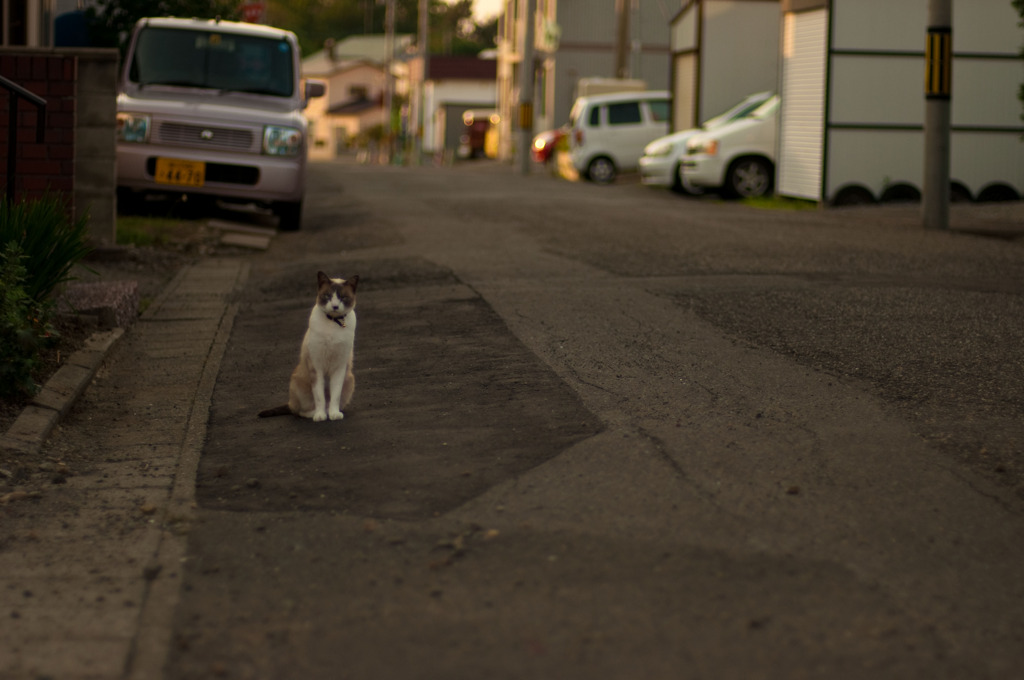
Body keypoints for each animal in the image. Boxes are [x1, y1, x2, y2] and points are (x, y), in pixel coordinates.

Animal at [258, 270, 358, 419]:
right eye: (328, 296)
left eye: (343, 297)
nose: (335, 306)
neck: (333, 323)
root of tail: (290, 402)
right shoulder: (316, 367)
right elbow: (319, 397)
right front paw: (320, 416)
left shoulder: (339, 367)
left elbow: (335, 395)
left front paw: (334, 414)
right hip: (297, 382)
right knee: (299, 410)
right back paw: (316, 413)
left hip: (350, 379)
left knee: (331, 401)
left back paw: (330, 411)